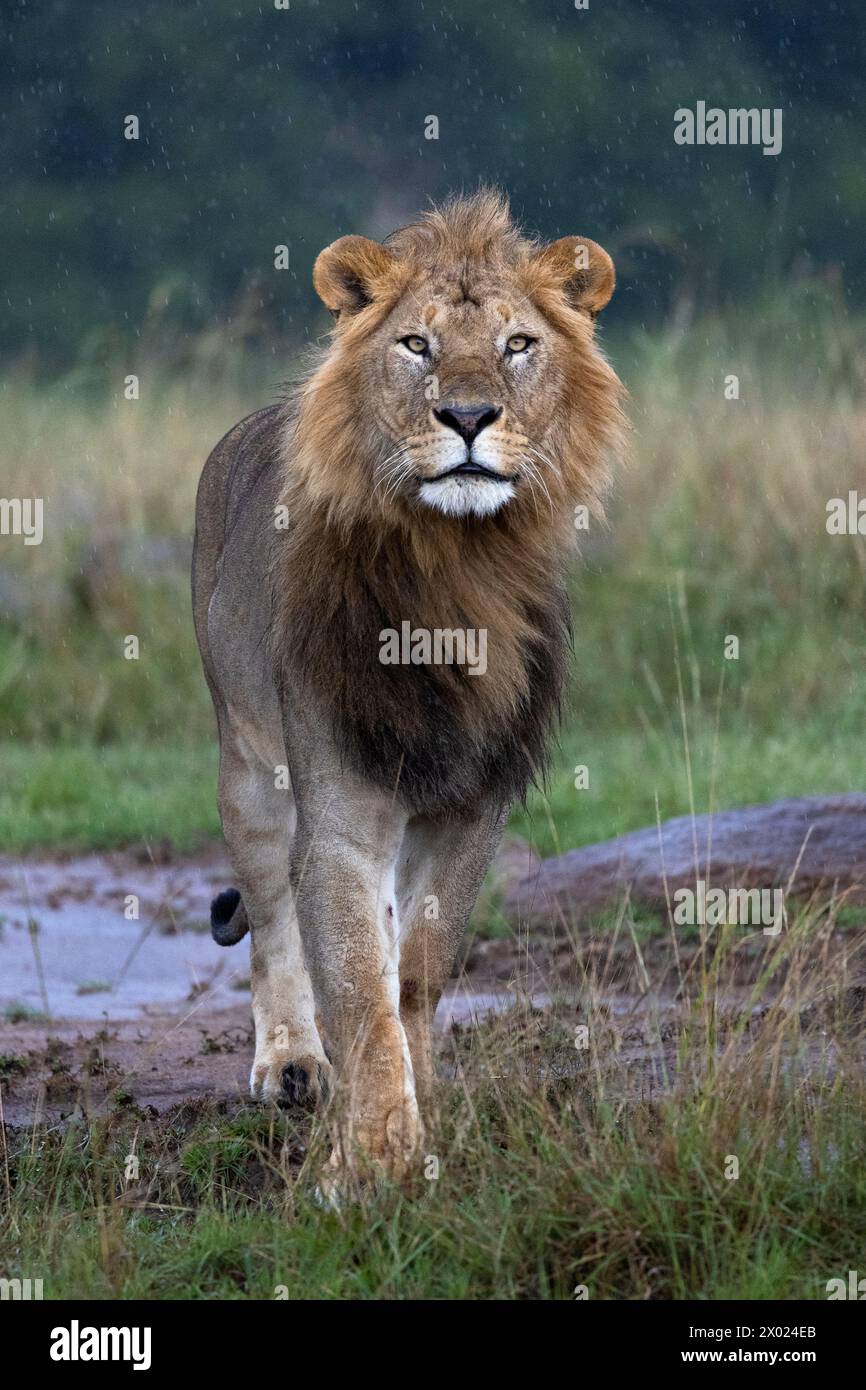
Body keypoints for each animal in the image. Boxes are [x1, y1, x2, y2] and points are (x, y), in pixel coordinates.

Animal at [192, 190, 625, 1186]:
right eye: (416, 345)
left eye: (517, 343)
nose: (467, 415)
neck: (454, 576)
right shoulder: (341, 813)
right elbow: (356, 985)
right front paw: (376, 1154)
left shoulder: (473, 805)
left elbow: (415, 974)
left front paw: (422, 1111)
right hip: (247, 770)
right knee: (271, 921)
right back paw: (292, 1067)